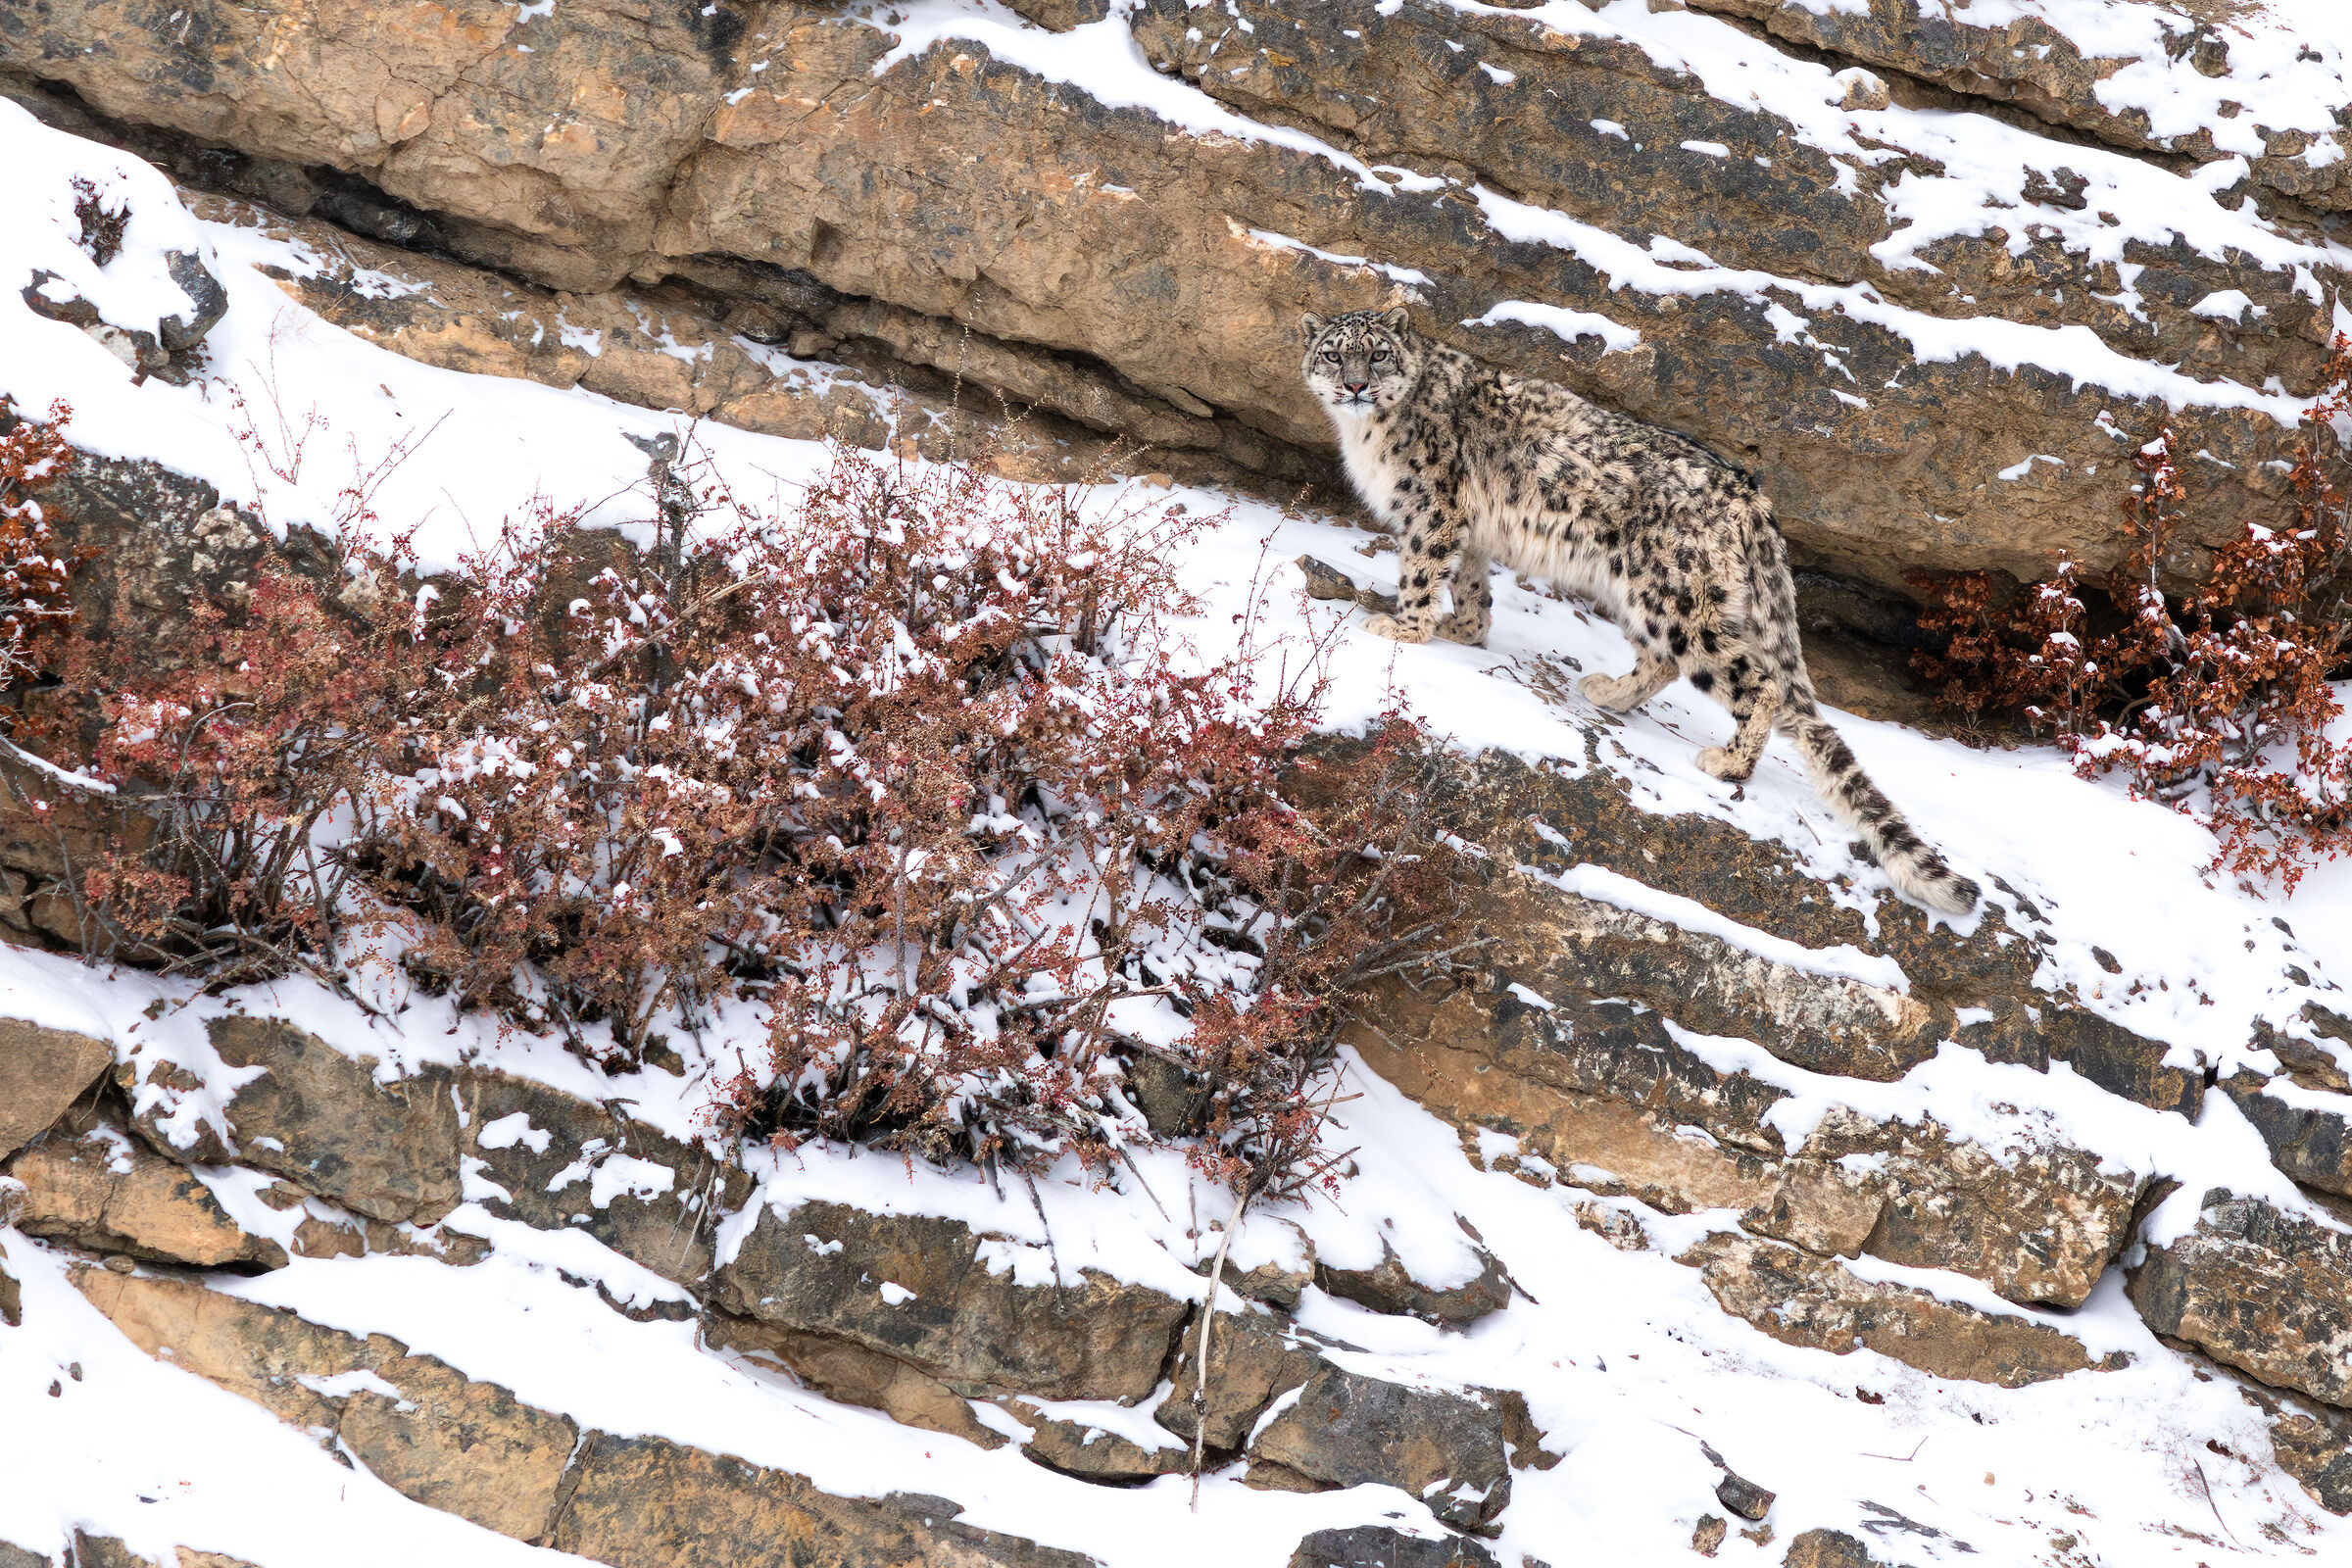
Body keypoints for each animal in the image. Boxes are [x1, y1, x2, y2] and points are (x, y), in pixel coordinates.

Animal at [1299, 306, 1980, 916]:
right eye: (1333, 353)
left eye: (1376, 354)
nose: (1354, 385)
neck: (1369, 435)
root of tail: (1750, 496)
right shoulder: (1468, 529)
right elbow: (1469, 581)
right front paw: (1462, 628)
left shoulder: (1432, 510)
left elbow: (1422, 570)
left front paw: (1403, 625)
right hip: (1643, 597)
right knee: (1664, 662)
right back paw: (1607, 692)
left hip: (1672, 598)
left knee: (1752, 681)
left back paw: (1726, 761)